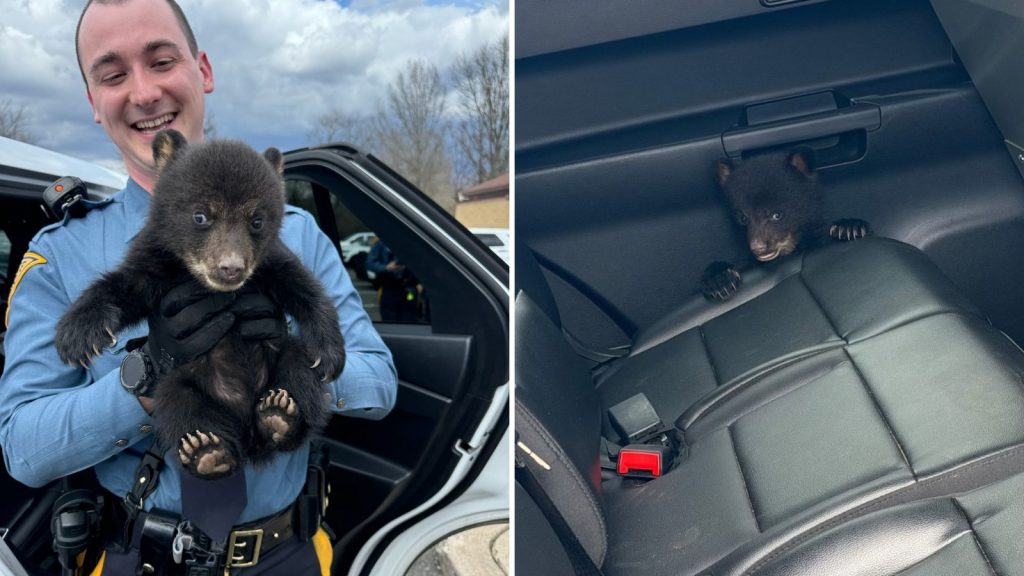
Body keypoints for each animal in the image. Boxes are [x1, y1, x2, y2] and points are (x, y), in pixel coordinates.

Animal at [55, 129, 345, 479]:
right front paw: (77, 335)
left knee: (299, 372)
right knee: (179, 405)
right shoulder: (157, 259)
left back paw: (281, 415)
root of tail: (247, 431)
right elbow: (127, 286)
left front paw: (329, 355)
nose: (231, 268)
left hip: (284, 357)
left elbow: (304, 286)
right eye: (201, 216)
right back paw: (208, 451)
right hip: (180, 383)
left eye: (257, 221)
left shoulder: (269, 263)